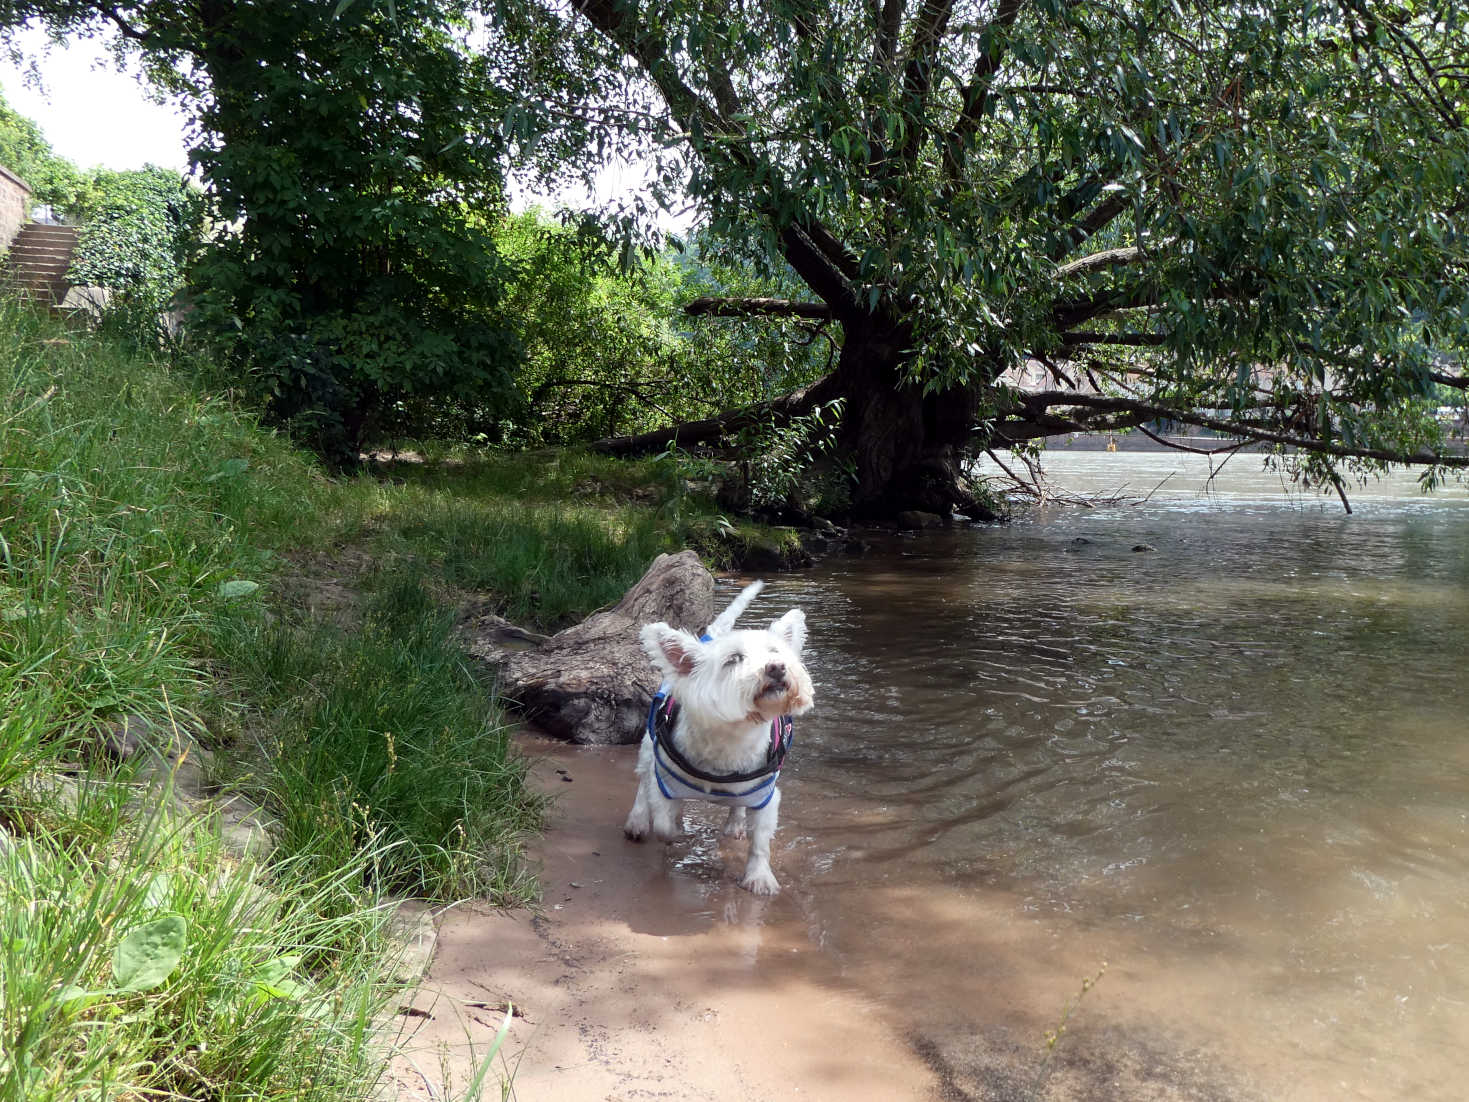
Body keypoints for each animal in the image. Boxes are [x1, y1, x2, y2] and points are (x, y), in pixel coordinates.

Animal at [622, 581, 816, 893]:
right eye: (733, 659)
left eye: (775, 651)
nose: (776, 667)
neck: (731, 738)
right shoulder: (663, 782)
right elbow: (662, 822)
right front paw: (672, 828)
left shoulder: (765, 795)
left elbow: (760, 842)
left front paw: (759, 877)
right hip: (648, 747)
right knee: (642, 782)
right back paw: (637, 821)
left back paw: (734, 824)